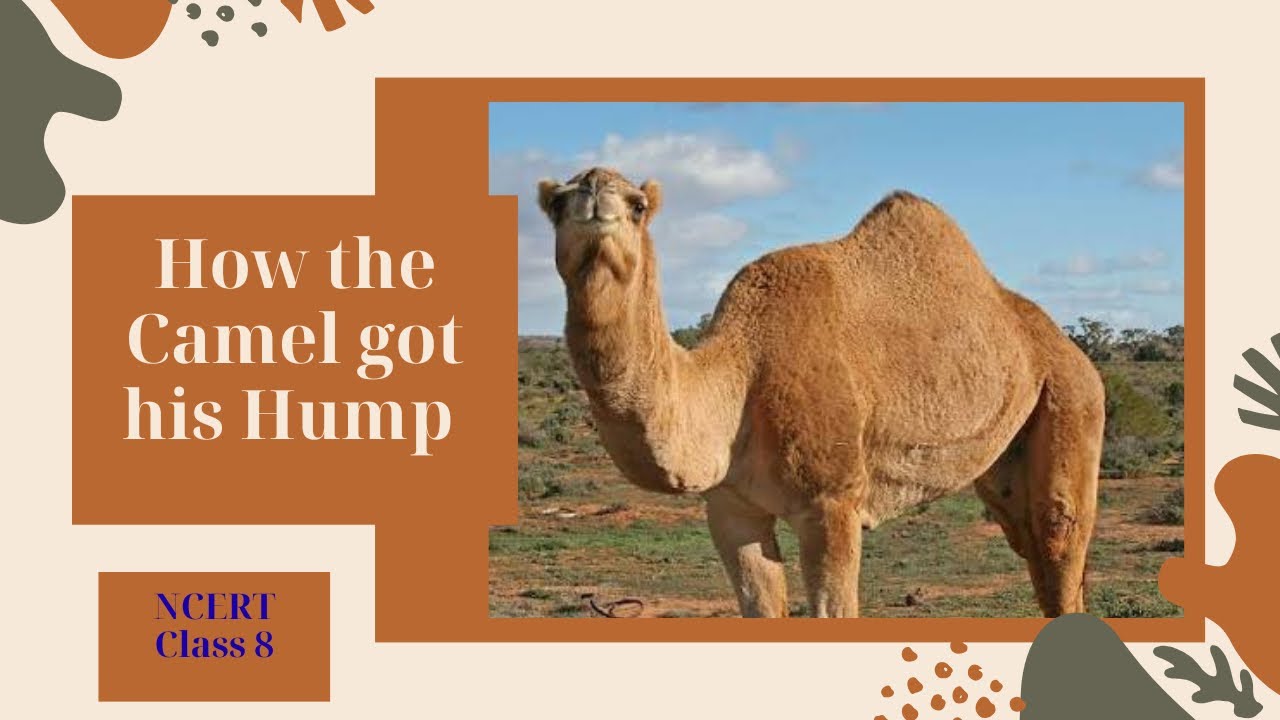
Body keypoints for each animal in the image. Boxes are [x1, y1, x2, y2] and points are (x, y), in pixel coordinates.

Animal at [537, 167, 1105, 618]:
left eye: (638, 205)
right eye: (557, 203)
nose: (594, 189)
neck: (741, 378)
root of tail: (1069, 349)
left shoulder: (832, 503)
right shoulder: (730, 509)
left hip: (1072, 399)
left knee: (1058, 536)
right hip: (1005, 459)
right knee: (1031, 546)